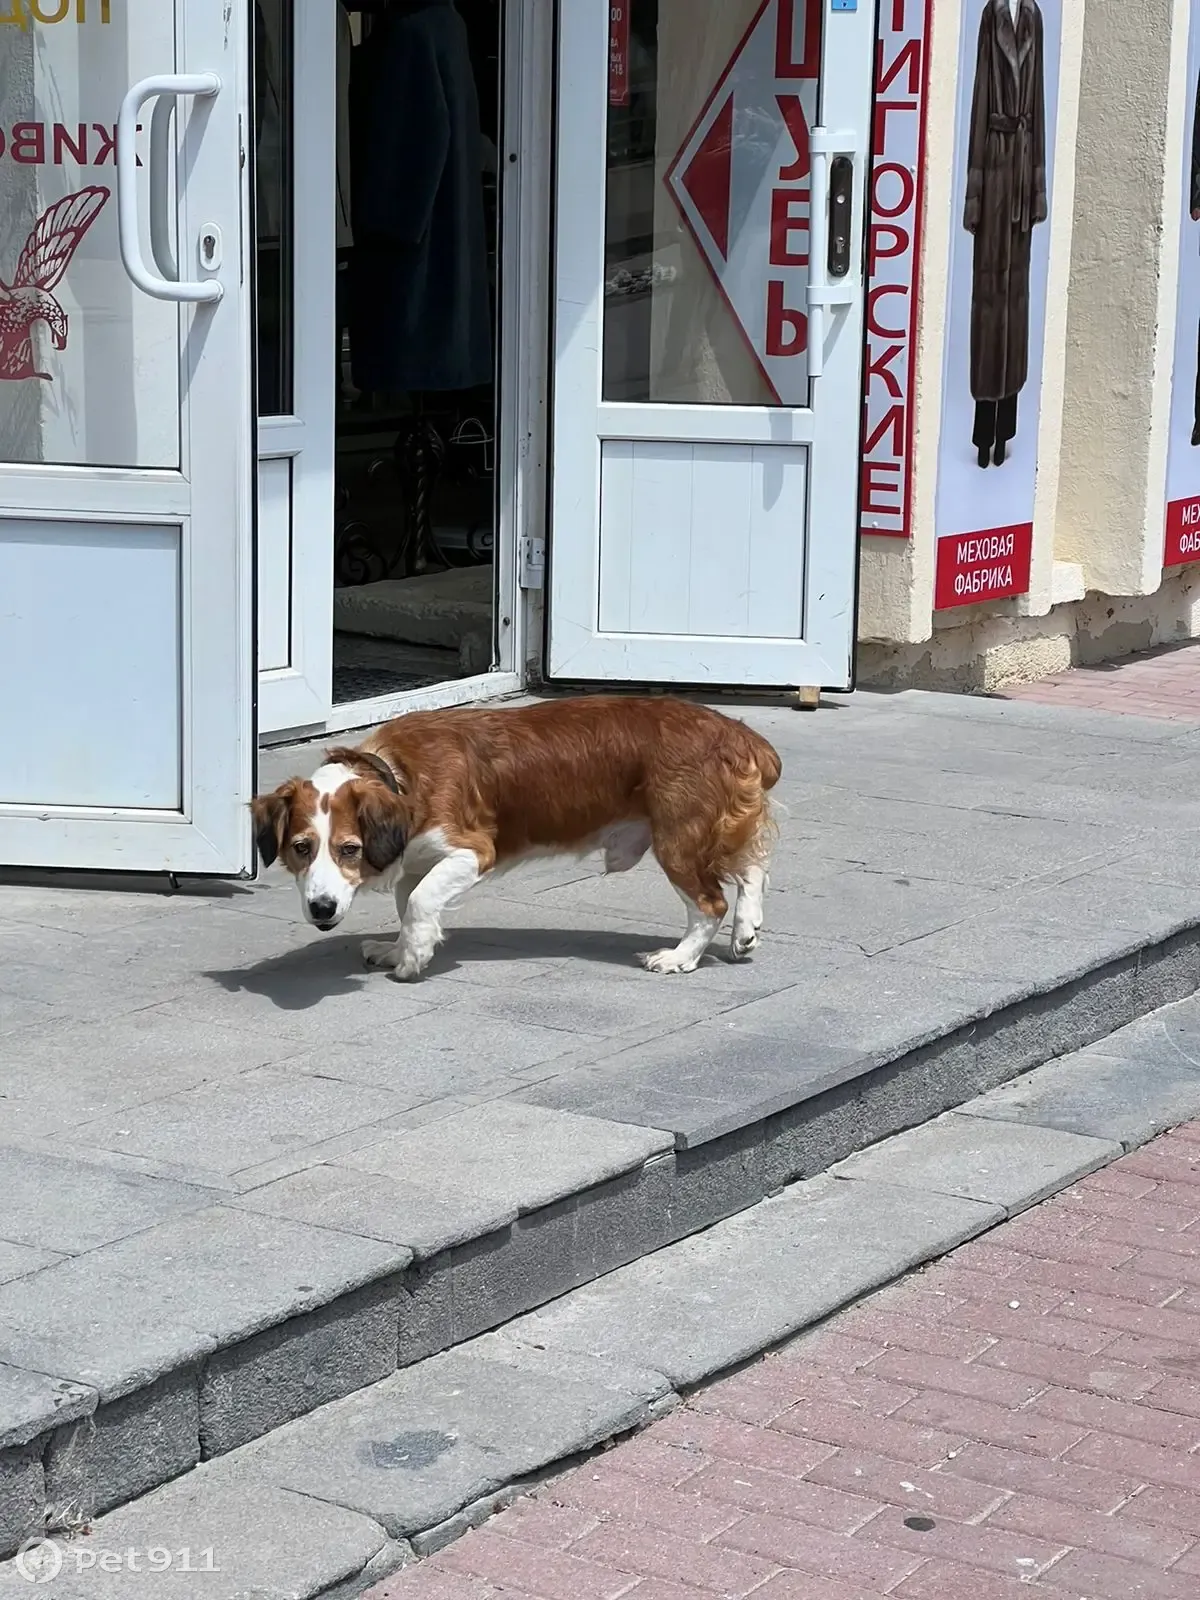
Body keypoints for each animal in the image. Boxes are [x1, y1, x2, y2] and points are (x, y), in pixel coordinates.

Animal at [251, 697, 780, 972]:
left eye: (349, 849)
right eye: (301, 849)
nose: (321, 909)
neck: (397, 776)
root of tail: (736, 731)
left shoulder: (472, 851)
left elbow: (419, 902)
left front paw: (413, 957)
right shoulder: (417, 860)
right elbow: (410, 902)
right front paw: (400, 947)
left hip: (678, 838)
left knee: (710, 902)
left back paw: (680, 956)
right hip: (712, 829)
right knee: (753, 867)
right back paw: (746, 929)